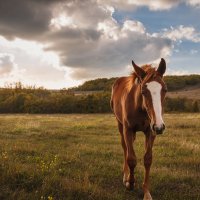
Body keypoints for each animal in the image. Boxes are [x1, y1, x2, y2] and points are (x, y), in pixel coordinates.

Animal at [111, 58, 167, 200]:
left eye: (165, 89)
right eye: (143, 91)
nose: (159, 126)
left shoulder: (150, 131)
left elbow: (148, 159)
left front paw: (146, 192)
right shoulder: (128, 130)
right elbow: (131, 159)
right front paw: (130, 183)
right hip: (120, 126)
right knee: (125, 148)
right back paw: (126, 176)